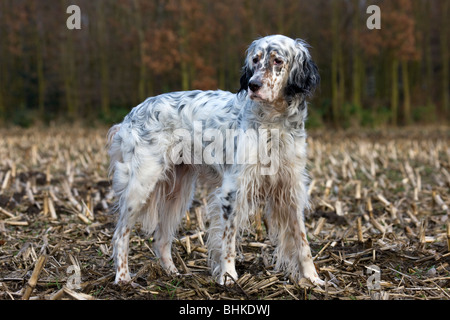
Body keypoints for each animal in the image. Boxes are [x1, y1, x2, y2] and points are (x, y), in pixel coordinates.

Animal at [107, 35, 326, 288]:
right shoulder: (233, 189)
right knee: (120, 234)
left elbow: (302, 241)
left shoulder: (291, 189)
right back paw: (123, 277)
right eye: (255, 59)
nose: (253, 85)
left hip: (179, 193)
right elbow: (227, 239)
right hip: (141, 185)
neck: (274, 123)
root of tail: (130, 115)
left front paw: (313, 278)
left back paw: (173, 272)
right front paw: (228, 276)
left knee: (161, 238)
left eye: (278, 60)